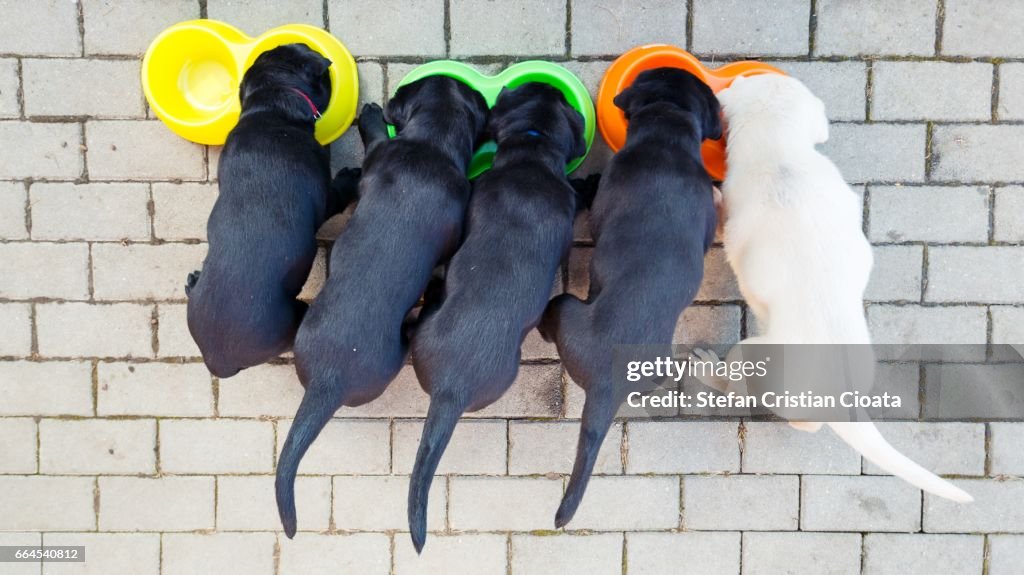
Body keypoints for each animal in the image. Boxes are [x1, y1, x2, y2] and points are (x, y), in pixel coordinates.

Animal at [276, 77, 487, 536]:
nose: (387, 99)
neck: (432, 145)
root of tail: (328, 380)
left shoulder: (380, 153)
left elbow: (373, 137)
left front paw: (371, 113)